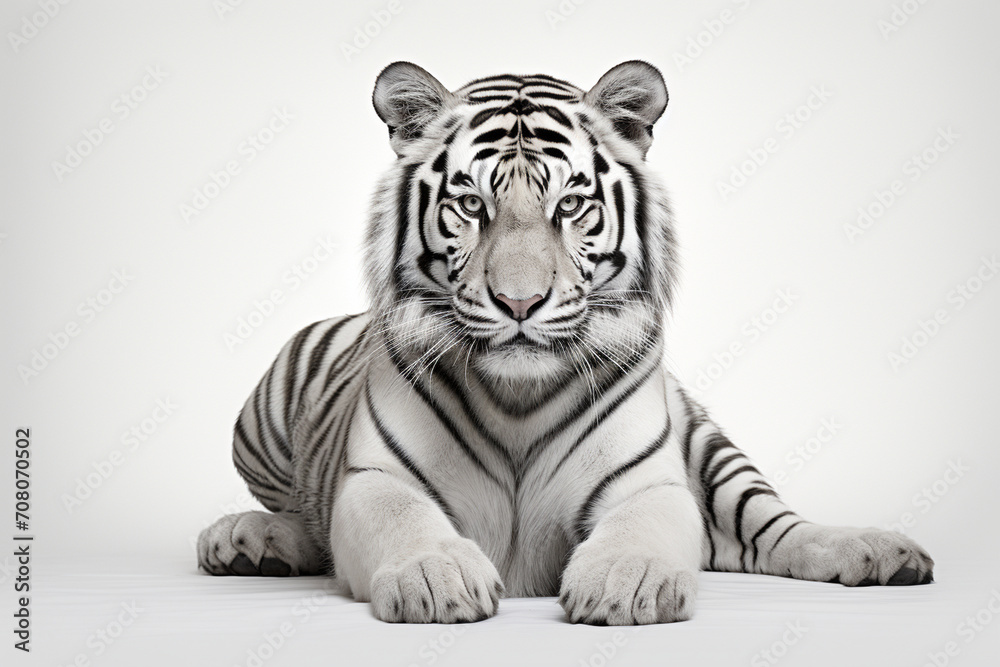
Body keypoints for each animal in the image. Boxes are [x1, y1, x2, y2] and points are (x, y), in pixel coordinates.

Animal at [197, 61, 934, 625]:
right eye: (472, 206)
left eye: (571, 206)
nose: (520, 302)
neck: (518, 397)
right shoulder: (377, 477)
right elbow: (399, 518)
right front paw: (436, 576)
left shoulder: (648, 478)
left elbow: (645, 528)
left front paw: (625, 582)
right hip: (260, 417)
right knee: (295, 508)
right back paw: (250, 539)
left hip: (708, 445)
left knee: (772, 527)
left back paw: (880, 553)